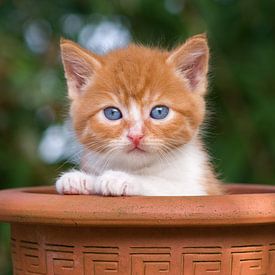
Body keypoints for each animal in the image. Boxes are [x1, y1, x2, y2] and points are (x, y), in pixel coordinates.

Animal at [56, 34, 224, 197]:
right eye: (112, 113)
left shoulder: (201, 187)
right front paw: (81, 178)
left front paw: (120, 178)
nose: (135, 135)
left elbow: (163, 184)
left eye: (159, 112)